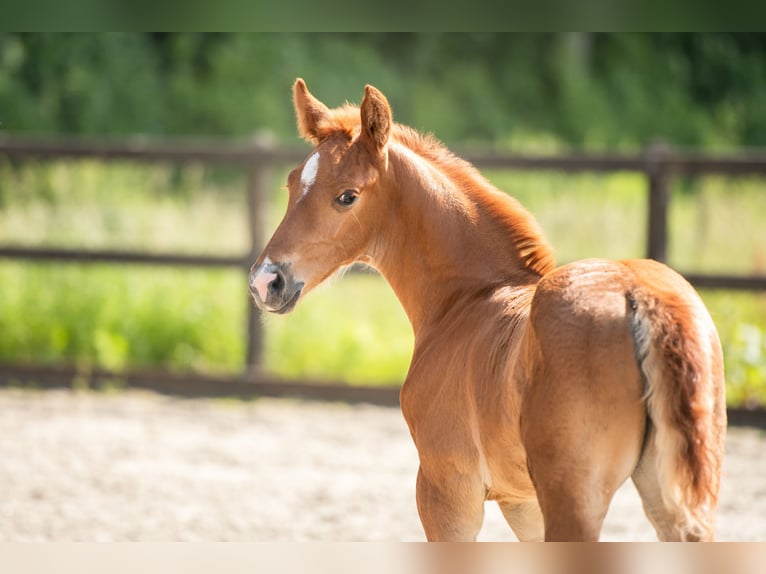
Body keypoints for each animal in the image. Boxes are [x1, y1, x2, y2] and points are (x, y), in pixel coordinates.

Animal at [250, 79, 728, 544]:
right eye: (291, 185)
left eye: (347, 196)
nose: (266, 281)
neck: (467, 300)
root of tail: (639, 296)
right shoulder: (523, 503)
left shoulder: (448, 491)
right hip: (679, 501)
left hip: (574, 497)